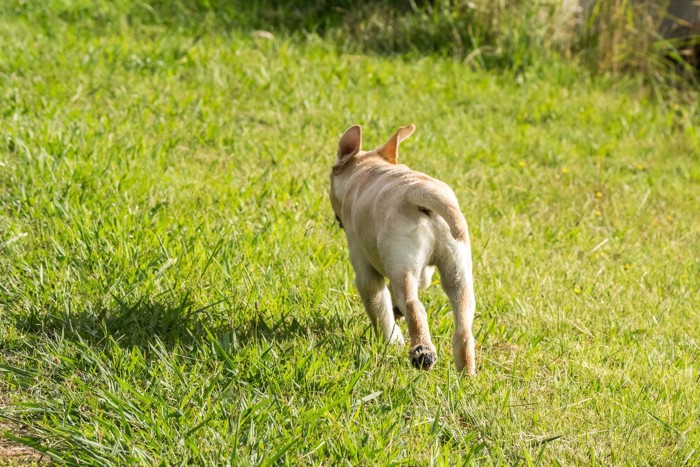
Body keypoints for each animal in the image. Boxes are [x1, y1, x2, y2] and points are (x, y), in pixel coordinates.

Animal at [328, 123, 476, 372]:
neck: (368, 168)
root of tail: (420, 192)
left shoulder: (365, 271)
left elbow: (379, 308)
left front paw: (392, 339)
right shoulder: (424, 272)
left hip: (402, 267)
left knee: (413, 305)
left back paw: (422, 352)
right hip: (458, 271)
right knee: (463, 327)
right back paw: (466, 373)